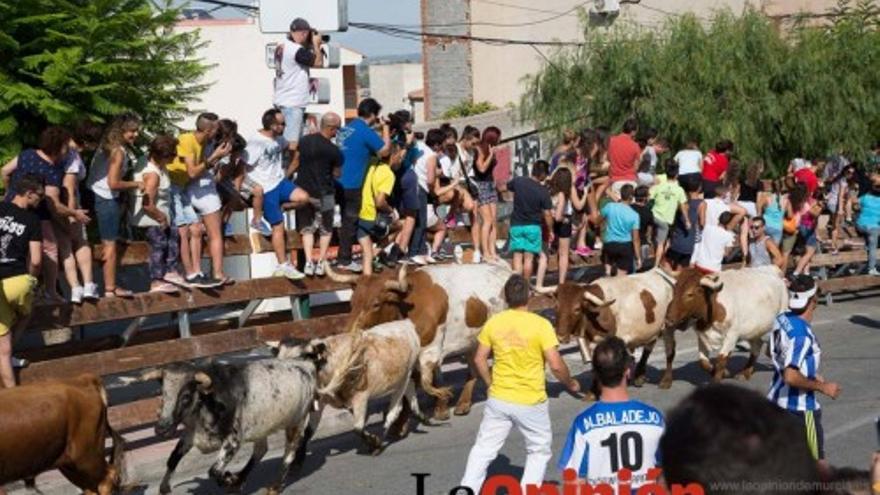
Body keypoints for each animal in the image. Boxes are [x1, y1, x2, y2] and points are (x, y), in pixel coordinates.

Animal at [324, 262, 508, 420]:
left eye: (375, 304)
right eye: (352, 302)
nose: (349, 333)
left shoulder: (431, 350)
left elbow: (428, 380)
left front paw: (441, 405)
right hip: (472, 340)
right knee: (473, 364)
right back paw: (463, 404)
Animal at [544, 268, 680, 392]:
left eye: (577, 309)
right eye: (556, 307)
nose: (560, 336)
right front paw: (593, 392)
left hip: (668, 326)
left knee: (669, 350)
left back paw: (666, 381)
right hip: (651, 329)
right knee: (648, 348)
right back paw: (639, 376)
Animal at [660, 266, 792, 390]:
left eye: (690, 294)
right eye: (674, 291)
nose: (668, 319)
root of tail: (775, 271)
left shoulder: (731, 336)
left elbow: (721, 360)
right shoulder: (702, 335)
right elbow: (703, 362)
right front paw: (723, 372)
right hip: (754, 329)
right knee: (757, 346)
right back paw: (745, 372)